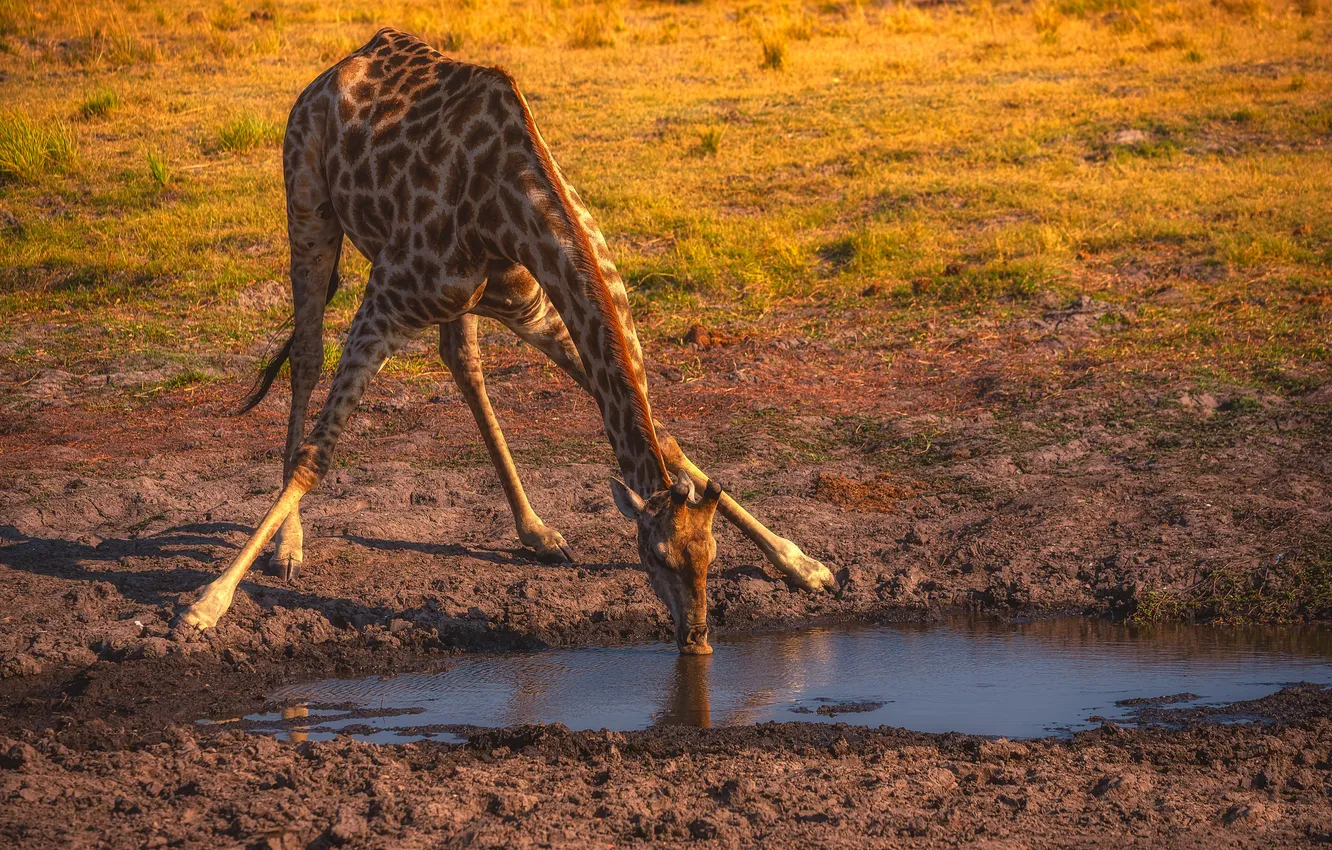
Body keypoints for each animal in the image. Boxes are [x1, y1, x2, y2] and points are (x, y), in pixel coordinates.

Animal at [179, 28, 834, 654]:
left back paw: (538, 531)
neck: (511, 207)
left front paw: (804, 564)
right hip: (307, 203)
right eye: (656, 556)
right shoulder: (384, 303)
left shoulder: (538, 309)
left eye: (711, 556)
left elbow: (668, 437)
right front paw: (207, 603)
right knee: (307, 355)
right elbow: (318, 455)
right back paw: (288, 548)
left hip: (460, 302)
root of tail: (333, 70)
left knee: (463, 364)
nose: (697, 638)